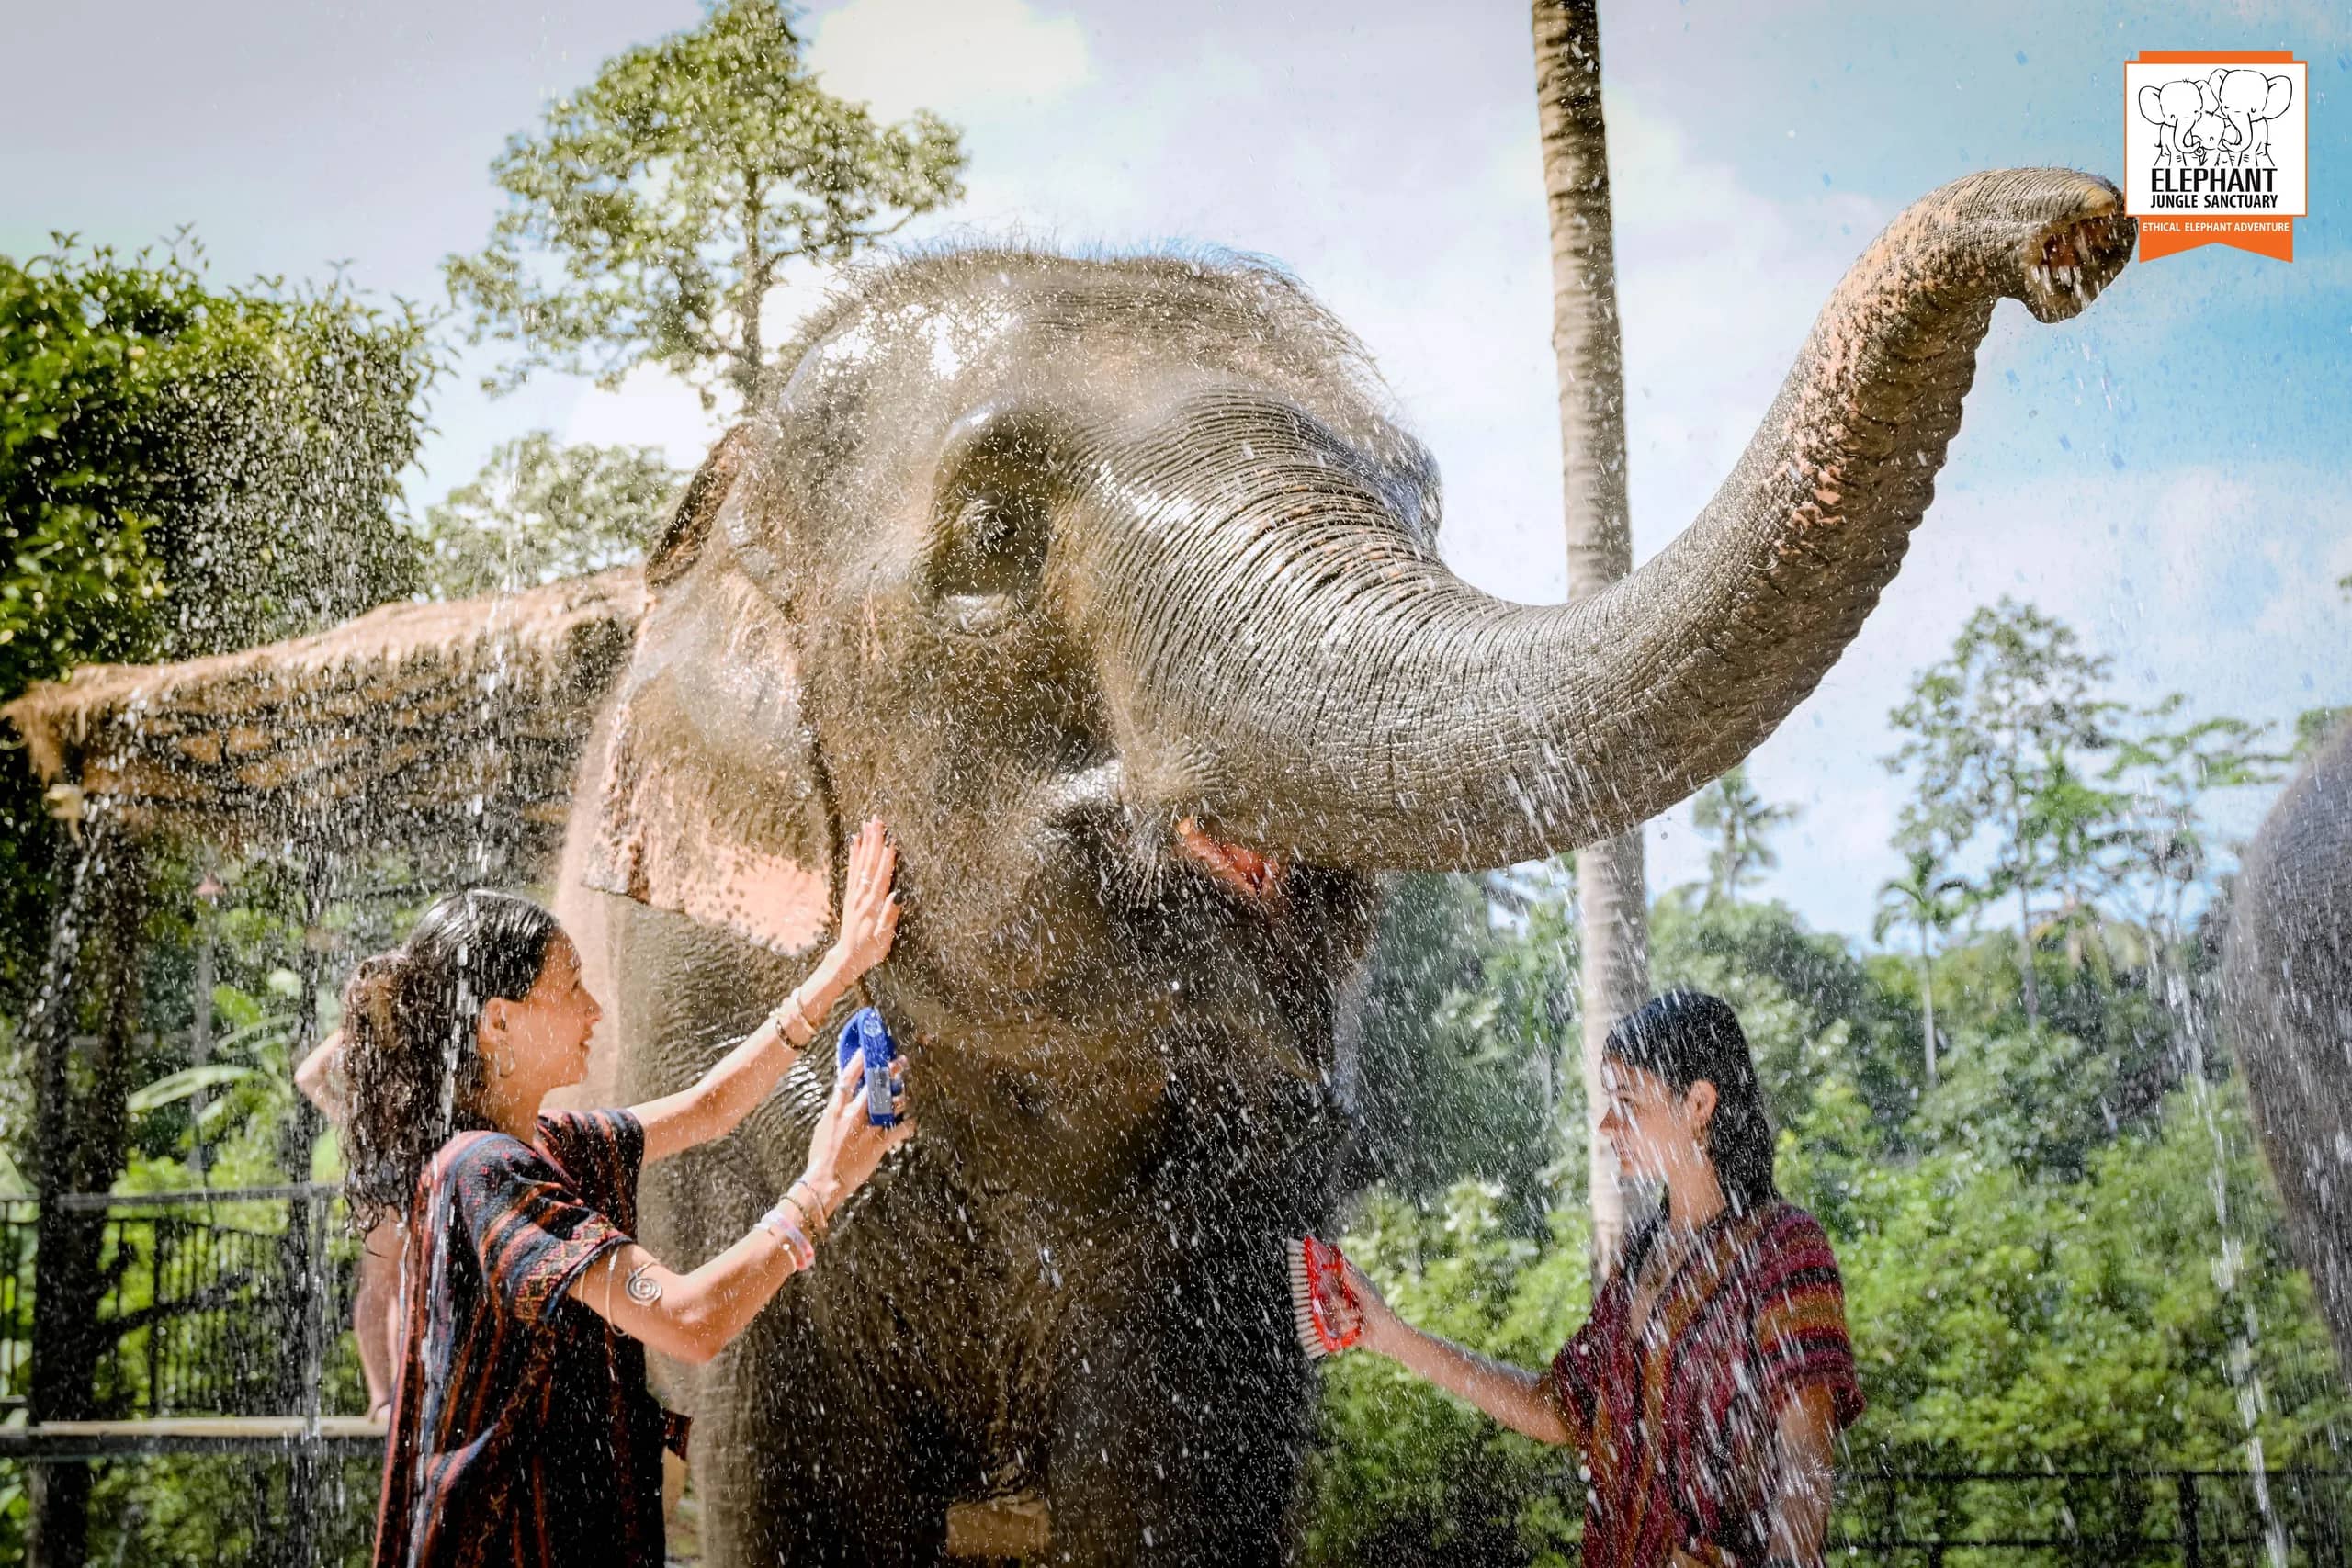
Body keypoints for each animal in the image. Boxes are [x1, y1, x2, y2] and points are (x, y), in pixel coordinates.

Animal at [3, 168, 2134, 1565]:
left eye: (1420, 499)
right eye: (997, 536)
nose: (2074, 234)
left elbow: (1179, 1487)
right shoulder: (690, 1060)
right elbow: (780, 1477)